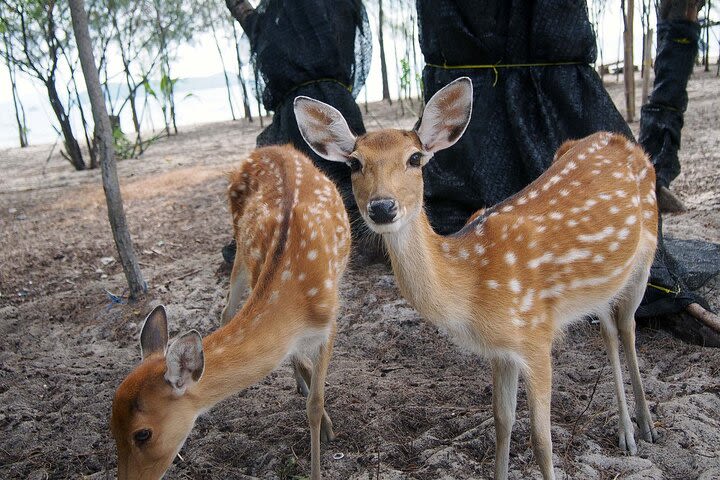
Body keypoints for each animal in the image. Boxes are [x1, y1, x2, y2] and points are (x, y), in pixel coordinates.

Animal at [109, 145, 352, 480]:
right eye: (110, 426)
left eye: (142, 433)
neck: (297, 296)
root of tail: (272, 148)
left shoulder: (330, 322)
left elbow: (314, 404)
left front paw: (325, 437)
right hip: (240, 243)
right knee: (226, 310)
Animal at [292, 77, 660, 478]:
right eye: (355, 162)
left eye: (415, 158)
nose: (382, 207)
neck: (473, 283)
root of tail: (619, 137)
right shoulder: (501, 350)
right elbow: (502, 422)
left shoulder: (536, 335)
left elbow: (541, 442)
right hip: (604, 282)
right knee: (608, 328)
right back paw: (627, 429)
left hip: (648, 252)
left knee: (627, 325)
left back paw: (644, 427)